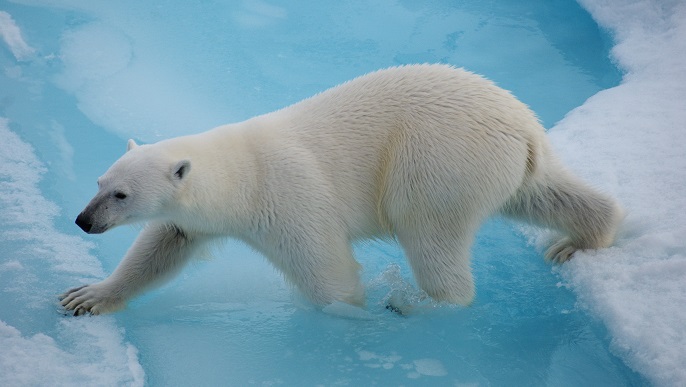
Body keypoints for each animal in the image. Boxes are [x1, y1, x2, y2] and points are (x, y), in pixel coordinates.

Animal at [61, 64, 628, 318]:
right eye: (100, 183)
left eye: (121, 195)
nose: (84, 221)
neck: (241, 177)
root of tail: (524, 126)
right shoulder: (193, 219)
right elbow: (161, 249)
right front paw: (87, 295)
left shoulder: (288, 199)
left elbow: (327, 273)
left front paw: (352, 314)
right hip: (511, 165)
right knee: (545, 194)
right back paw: (578, 239)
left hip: (437, 162)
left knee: (432, 240)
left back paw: (416, 306)